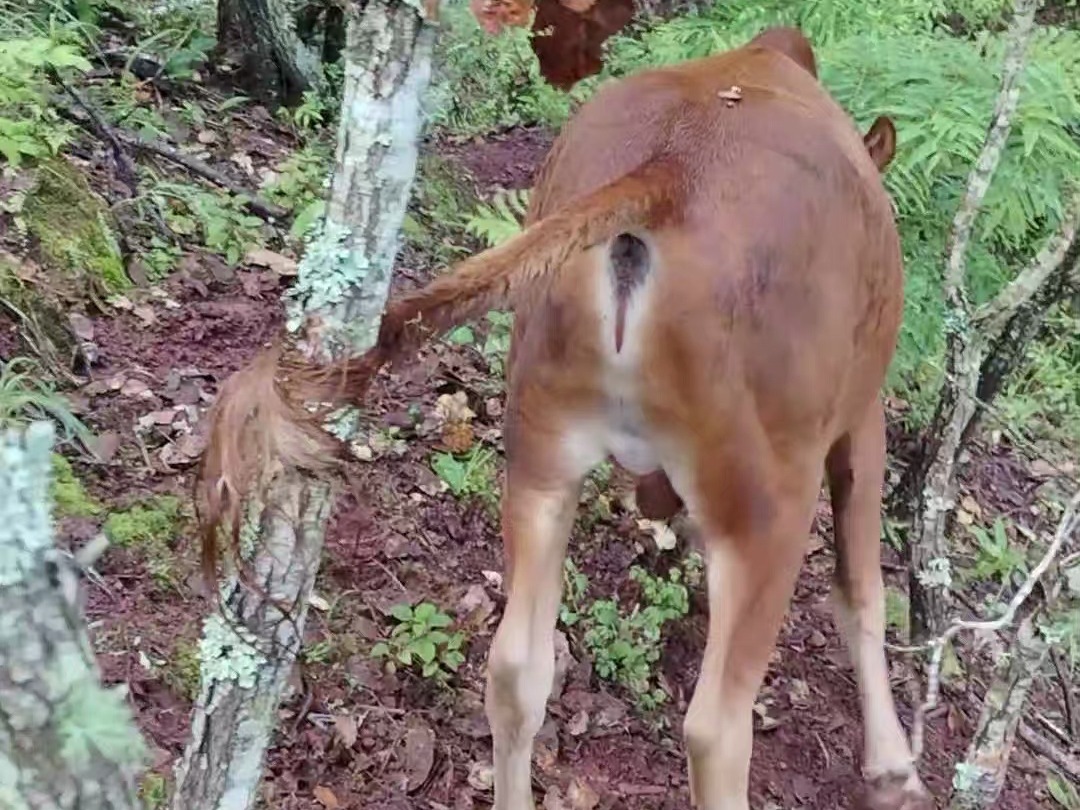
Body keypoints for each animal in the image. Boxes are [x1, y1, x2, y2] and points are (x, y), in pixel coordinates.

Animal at [198, 25, 924, 810]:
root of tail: (667, 174)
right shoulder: (862, 415)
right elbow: (862, 588)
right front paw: (894, 765)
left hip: (541, 448)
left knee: (517, 669)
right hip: (767, 503)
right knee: (716, 731)